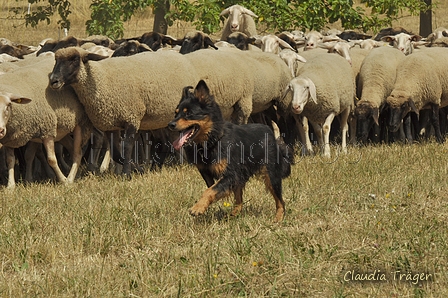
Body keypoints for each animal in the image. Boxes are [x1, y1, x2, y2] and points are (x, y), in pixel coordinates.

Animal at [167, 79, 290, 221]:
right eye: (176, 113)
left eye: (189, 113)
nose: (170, 124)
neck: (213, 139)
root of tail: (270, 132)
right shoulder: (208, 172)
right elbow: (213, 187)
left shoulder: (230, 174)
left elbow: (210, 190)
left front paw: (198, 208)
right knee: (239, 200)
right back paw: (233, 214)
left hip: (271, 175)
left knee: (280, 200)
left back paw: (278, 218)